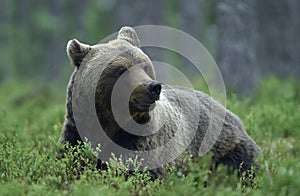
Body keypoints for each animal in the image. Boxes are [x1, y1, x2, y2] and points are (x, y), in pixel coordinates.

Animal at [59, 26, 258, 179]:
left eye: (145, 66)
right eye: (121, 70)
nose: (153, 87)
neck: (110, 124)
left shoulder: (141, 143)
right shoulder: (75, 133)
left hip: (222, 148)